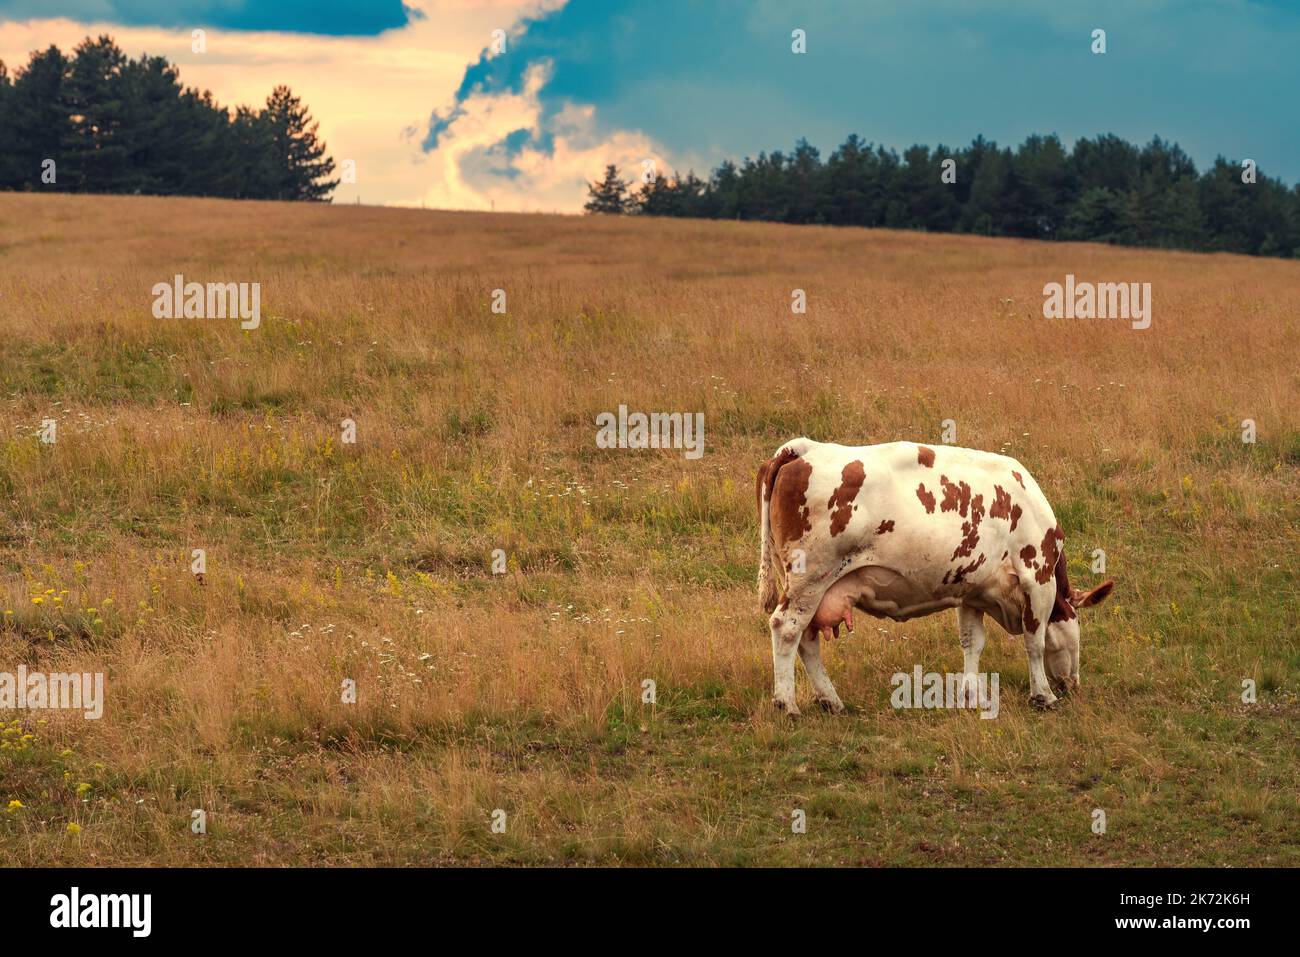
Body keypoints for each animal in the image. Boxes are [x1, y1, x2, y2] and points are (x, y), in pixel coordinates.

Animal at [759, 436, 1112, 712]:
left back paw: (830, 700)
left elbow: (972, 643)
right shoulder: (1037, 578)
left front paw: (972, 696)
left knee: (807, 638)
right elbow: (1035, 641)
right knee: (786, 628)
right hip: (810, 578)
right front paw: (1043, 695)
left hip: (814, 588)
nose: (1073, 684)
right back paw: (786, 704)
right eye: (1077, 628)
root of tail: (804, 448)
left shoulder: (972, 591)